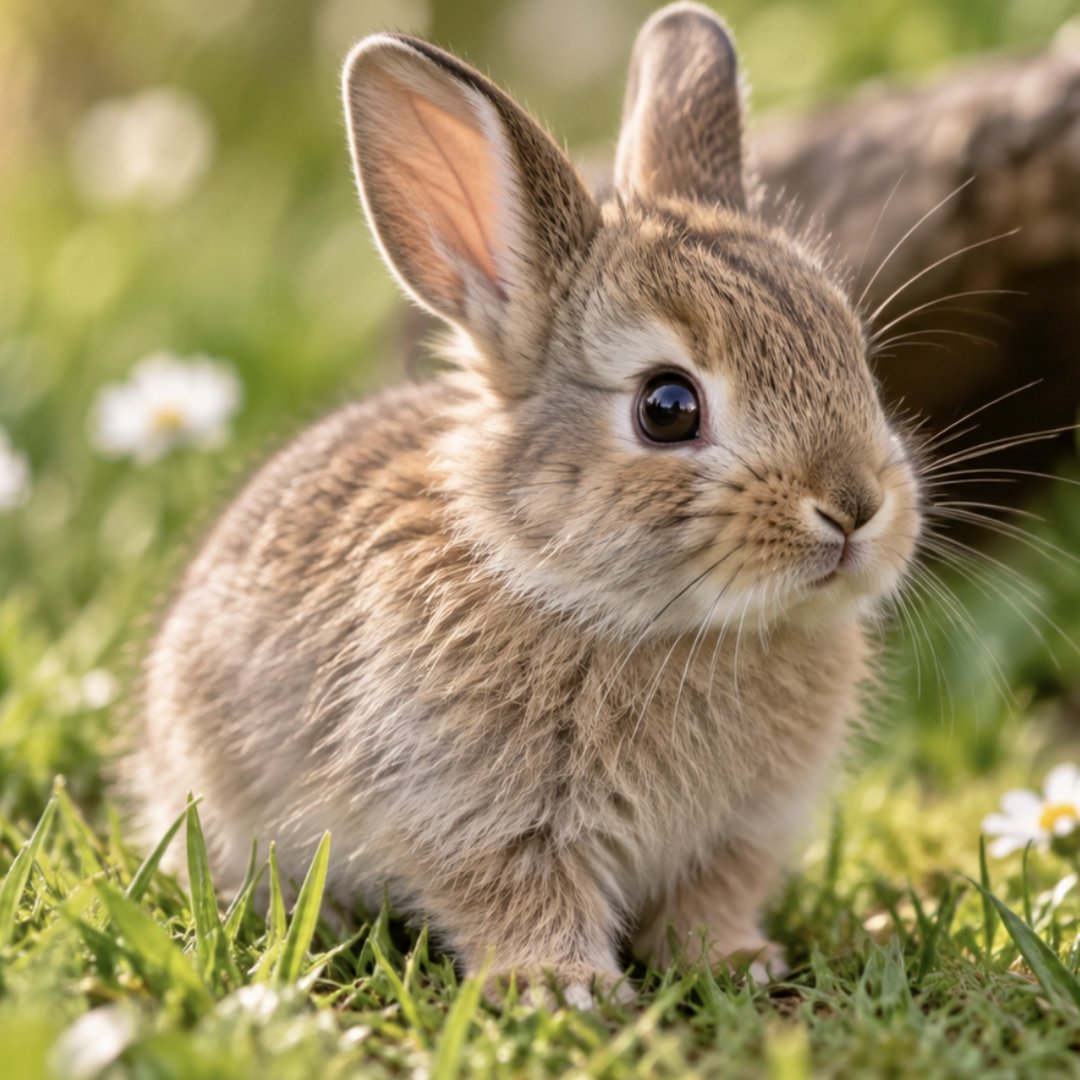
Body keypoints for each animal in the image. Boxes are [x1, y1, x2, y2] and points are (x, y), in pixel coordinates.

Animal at [123, 2, 922, 1006]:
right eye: (667, 408)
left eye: (854, 356)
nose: (855, 508)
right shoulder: (480, 813)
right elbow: (521, 892)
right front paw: (561, 986)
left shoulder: (740, 830)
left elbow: (711, 895)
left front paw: (733, 960)